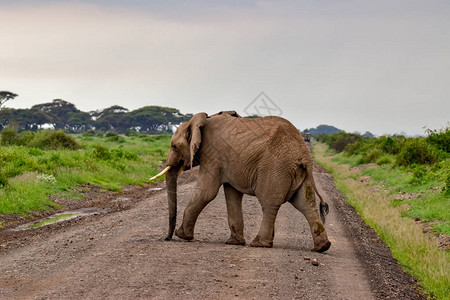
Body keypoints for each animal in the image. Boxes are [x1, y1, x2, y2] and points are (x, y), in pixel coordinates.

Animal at [151, 111, 330, 252]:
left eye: (174, 146)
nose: (167, 238)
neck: (201, 120)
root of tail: (303, 153)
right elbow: (232, 195)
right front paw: (234, 242)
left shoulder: (212, 155)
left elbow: (206, 192)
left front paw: (182, 235)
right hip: (298, 172)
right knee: (306, 204)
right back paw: (322, 247)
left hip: (276, 168)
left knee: (270, 204)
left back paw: (259, 244)